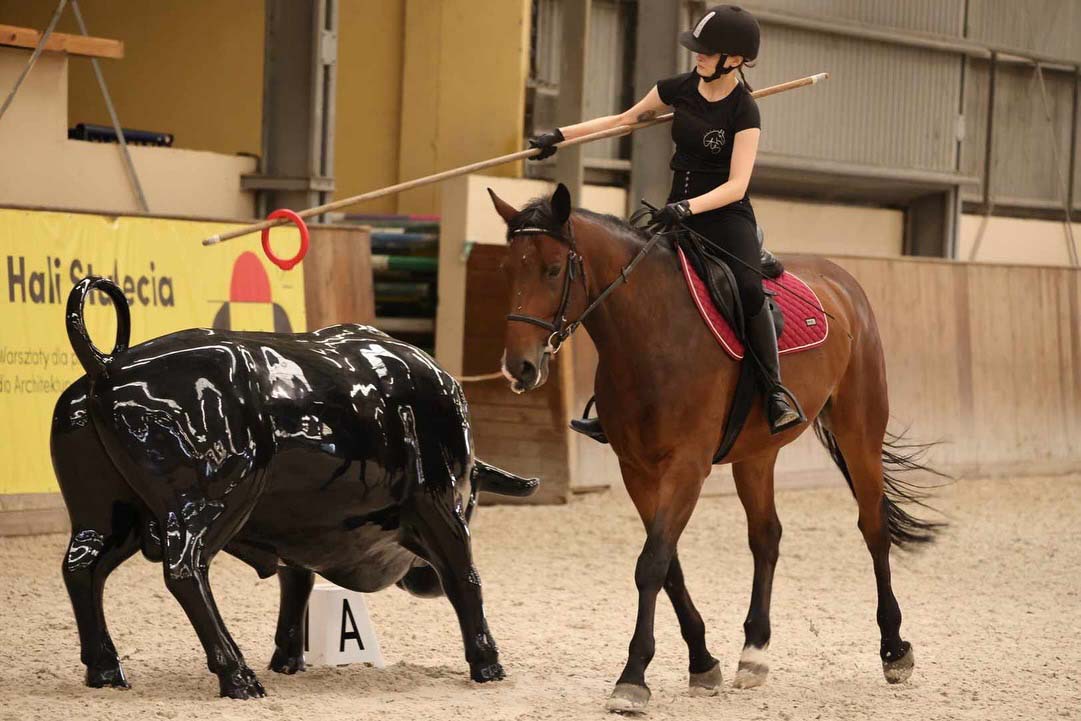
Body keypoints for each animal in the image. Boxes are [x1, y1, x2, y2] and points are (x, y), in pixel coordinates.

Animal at [52, 276, 538, 698]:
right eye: (472, 497)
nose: (422, 582)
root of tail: (107, 368)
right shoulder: (438, 504)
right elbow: (465, 578)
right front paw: (487, 663)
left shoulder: (298, 530)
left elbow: (296, 586)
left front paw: (288, 659)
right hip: (210, 501)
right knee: (186, 572)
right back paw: (237, 675)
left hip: (108, 515)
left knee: (82, 568)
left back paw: (105, 670)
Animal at [487, 183, 942, 713]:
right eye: (508, 269)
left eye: (554, 268)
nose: (519, 367)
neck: (652, 331)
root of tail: (841, 280)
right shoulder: (635, 469)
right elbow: (668, 567)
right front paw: (703, 663)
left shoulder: (687, 466)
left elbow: (652, 564)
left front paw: (633, 678)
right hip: (757, 453)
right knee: (766, 536)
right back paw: (754, 653)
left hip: (859, 431)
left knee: (873, 529)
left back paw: (894, 650)